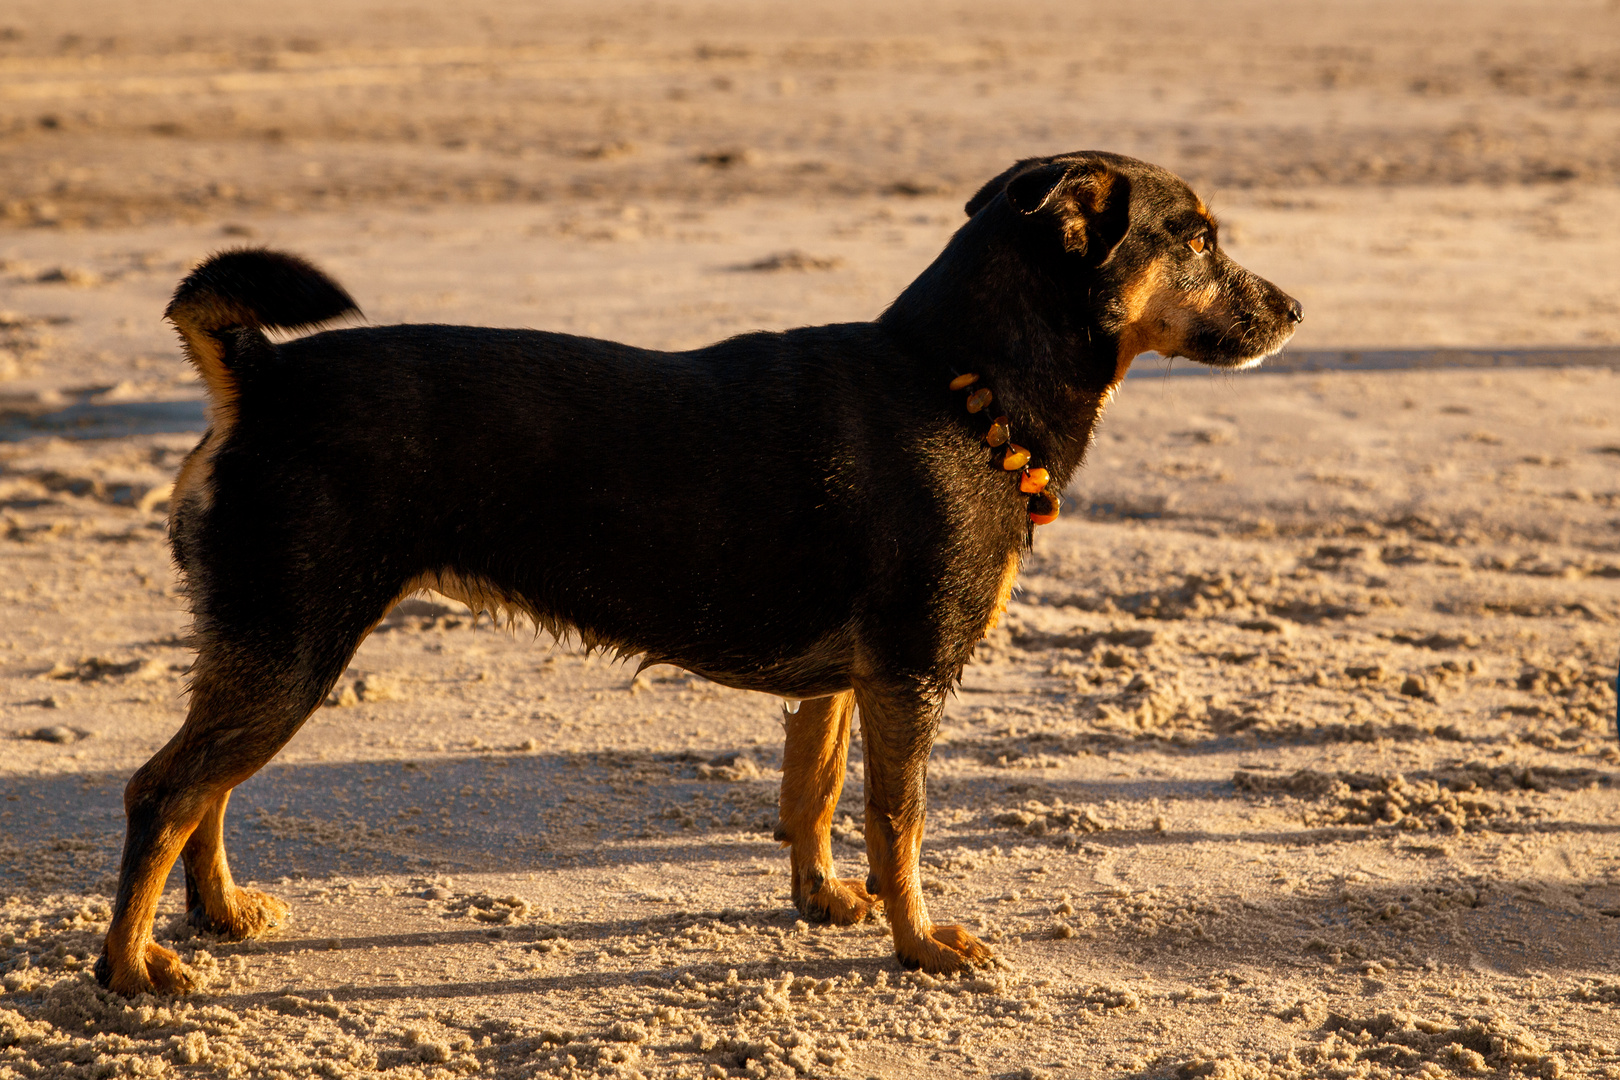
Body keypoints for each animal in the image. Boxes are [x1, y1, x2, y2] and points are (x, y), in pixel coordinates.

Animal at [94, 152, 1296, 997]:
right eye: (1197, 239)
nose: (1295, 312)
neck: (958, 384)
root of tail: (259, 377)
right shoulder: (911, 676)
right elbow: (899, 822)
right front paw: (918, 944)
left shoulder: (845, 684)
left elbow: (815, 794)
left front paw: (823, 902)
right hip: (294, 645)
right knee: (165, 791)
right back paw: (132, 970)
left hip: (268, 646)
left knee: (205, 787)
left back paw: (219, 916)